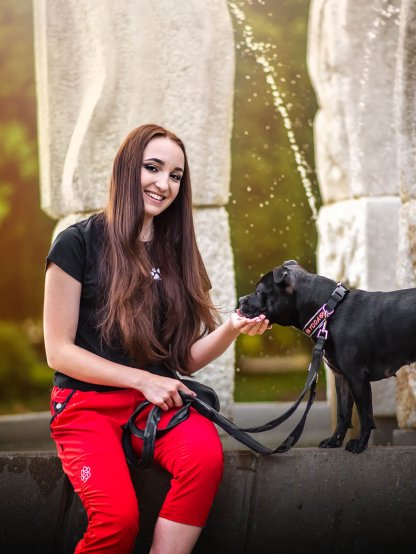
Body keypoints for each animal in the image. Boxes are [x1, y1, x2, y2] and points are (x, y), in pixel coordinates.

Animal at [237, 260, 416, 450]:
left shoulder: (357, 378)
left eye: (259, 291)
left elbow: (365, 415)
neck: (328, 312)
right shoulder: (342, 378)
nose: (241, 300)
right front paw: (334, 441)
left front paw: (360, 444)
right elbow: (343, 414)